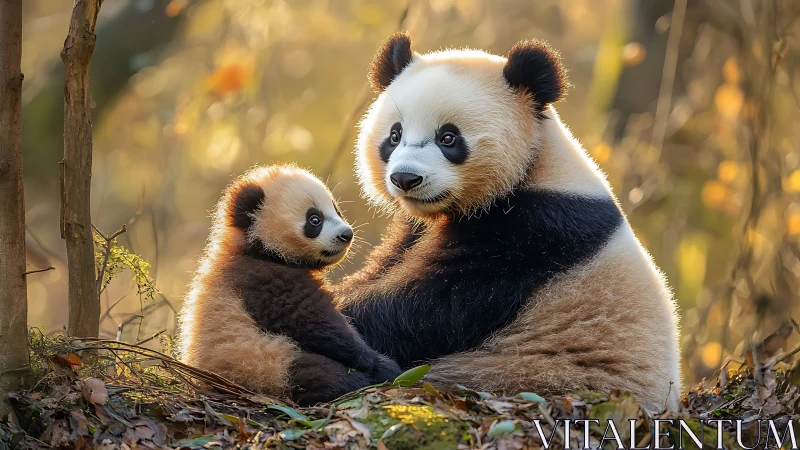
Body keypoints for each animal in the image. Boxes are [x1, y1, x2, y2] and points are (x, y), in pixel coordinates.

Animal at [178, 164, 401, 405]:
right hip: (264, 364)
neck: (256, 248)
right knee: (317, 374)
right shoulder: (263, 278)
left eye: (337, 210)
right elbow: (309, 319)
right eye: (314, 219)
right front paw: (374, 361)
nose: (346, 234)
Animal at [335, 33, 682, 412]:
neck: (534, 166)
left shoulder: (534, 233)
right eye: (394, 136)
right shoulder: (418, 230)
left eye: (448, 138)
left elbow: (430, 307)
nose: (405, 178)